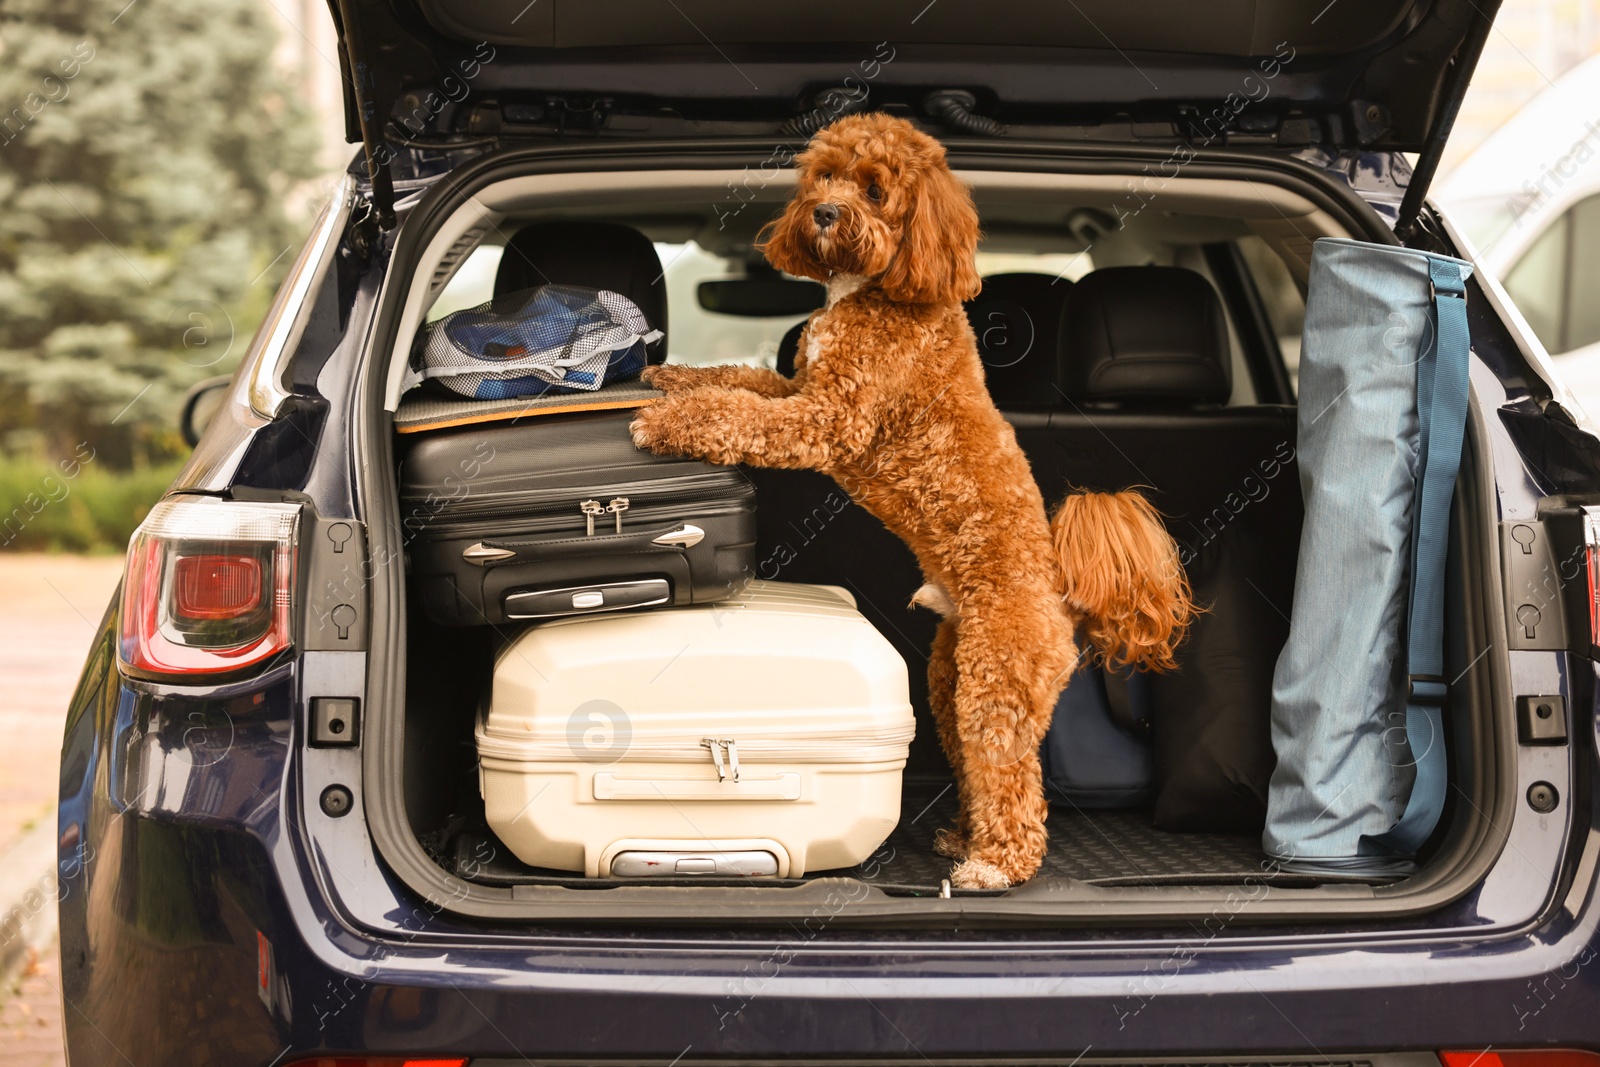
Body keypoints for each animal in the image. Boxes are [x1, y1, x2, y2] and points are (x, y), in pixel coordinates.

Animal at [630, 112, 1196, 889]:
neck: (877, 290)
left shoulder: (827, 418)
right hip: (947, 679)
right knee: (974, 768)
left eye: (874, 188)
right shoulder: (798, 385)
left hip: (995, 686)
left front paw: (665, 421)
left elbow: (739, 413)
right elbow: (738, 380)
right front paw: (672, 376)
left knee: (1013, 781)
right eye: (824, 176)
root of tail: (1060, 596)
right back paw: (963, 837)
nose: (825, 212)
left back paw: (995, 866)